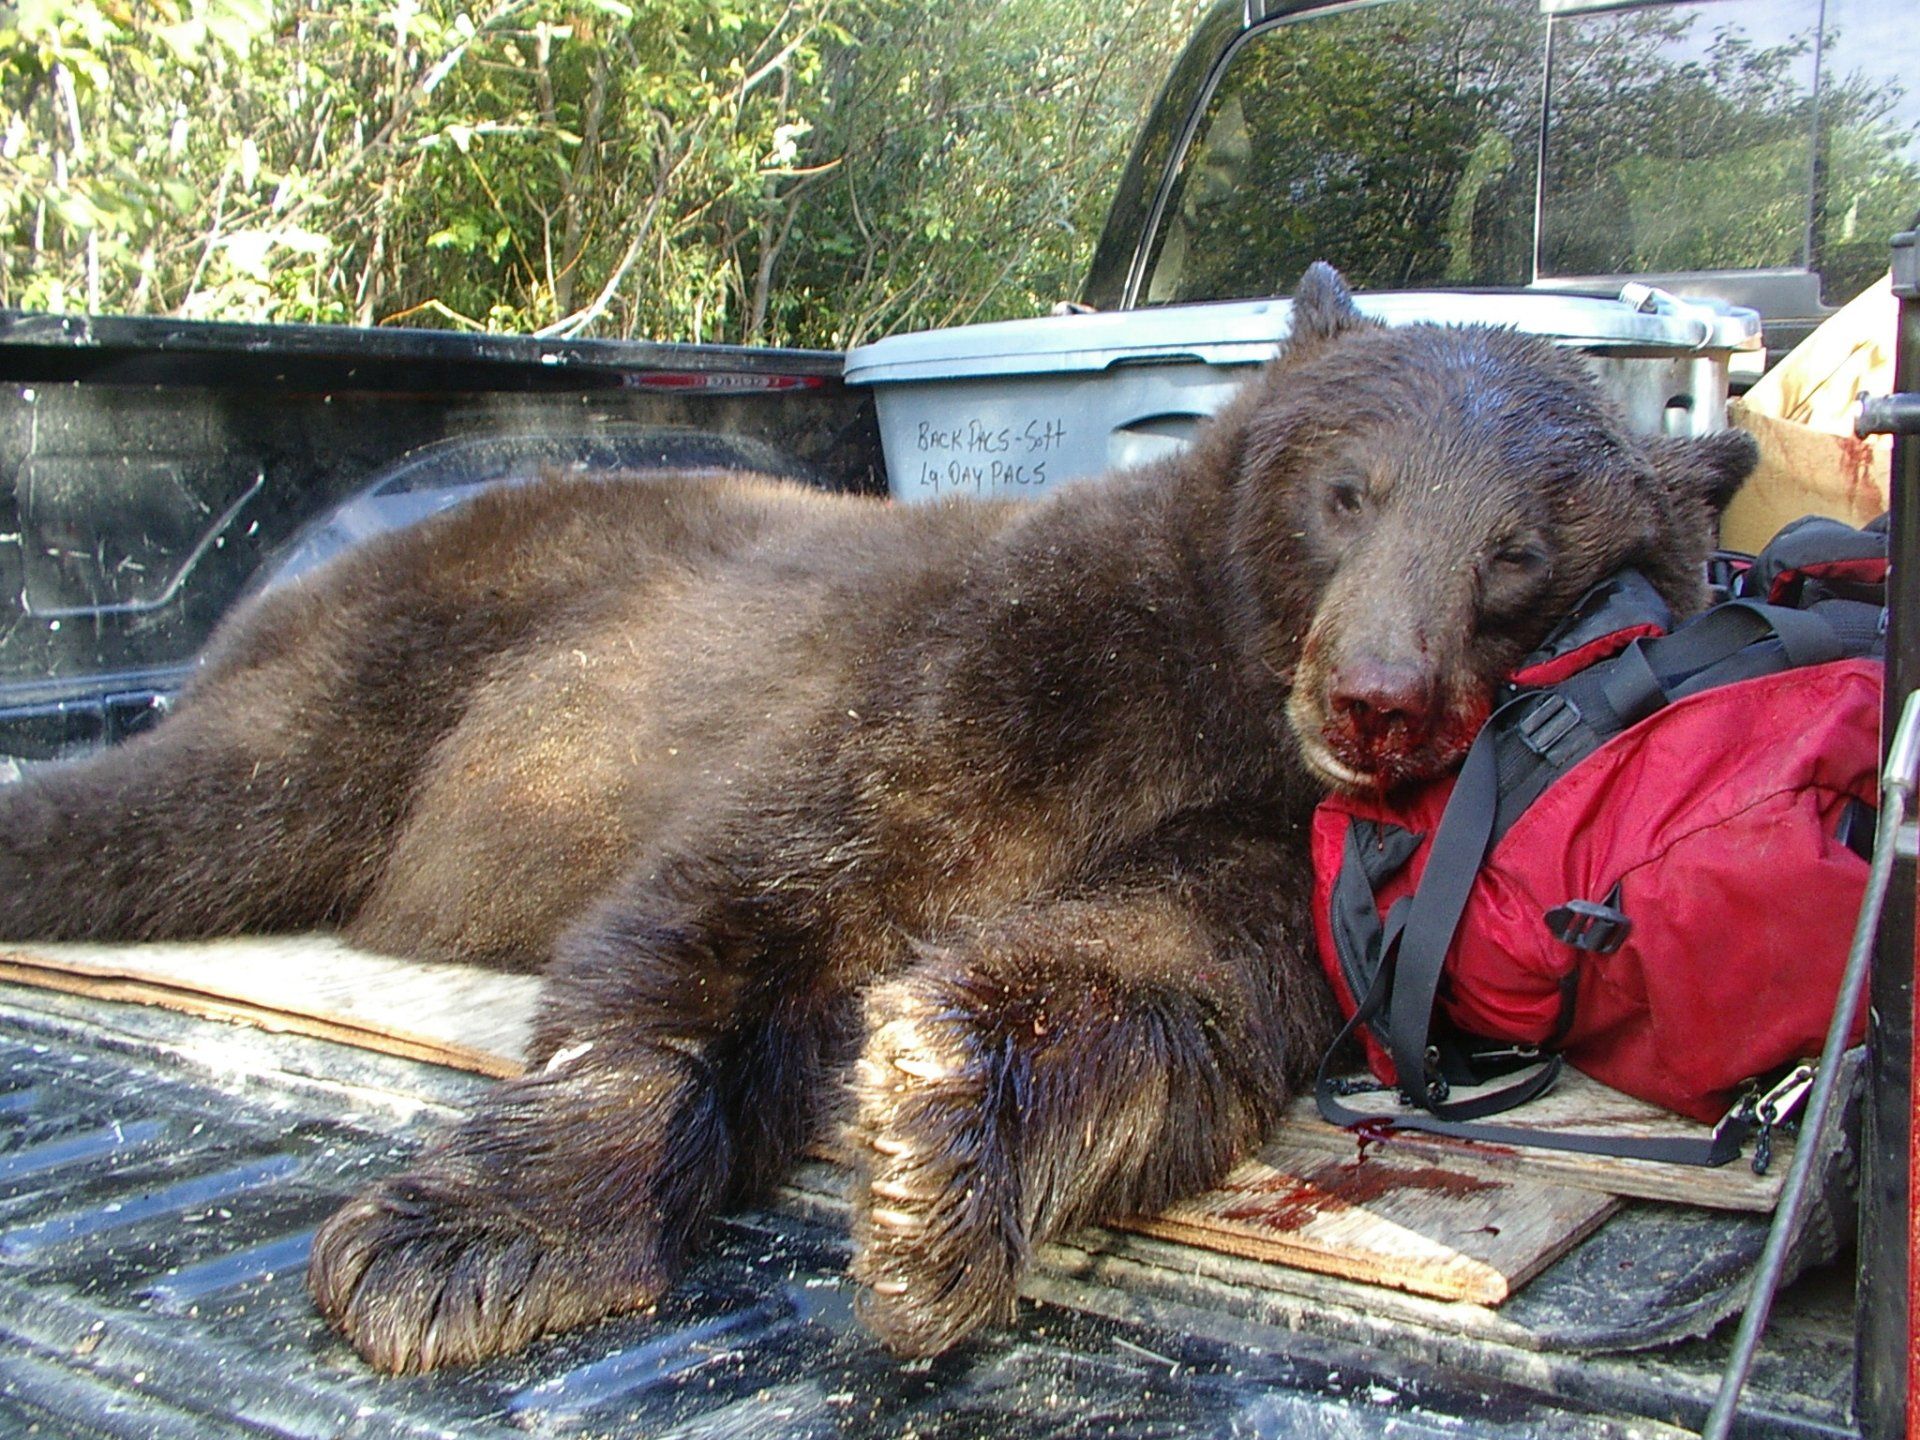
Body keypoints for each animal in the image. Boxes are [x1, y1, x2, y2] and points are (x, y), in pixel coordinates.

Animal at [0, 265, 1756, 1372]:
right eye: (1350, 493)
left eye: (1520, 553)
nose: (1381, 700)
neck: (1212, 698)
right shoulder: (986, 670)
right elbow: (741, 898)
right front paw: (472, 1240)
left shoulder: (1281, 855)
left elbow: (1165, 980)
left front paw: (937, 1151)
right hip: (408, 663)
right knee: (183, 808)